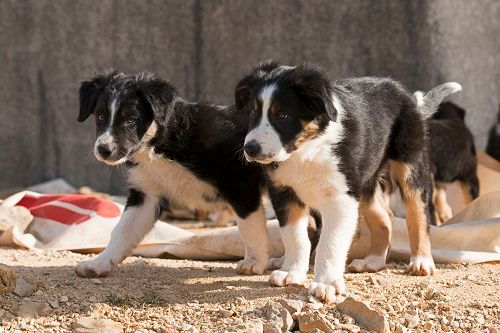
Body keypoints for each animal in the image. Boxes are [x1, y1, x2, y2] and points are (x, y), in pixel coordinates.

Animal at [234, 61, 460, 302]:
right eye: (253, 113)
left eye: (283, 115)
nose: (250, 149)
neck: (306, 150)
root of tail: (406, 94)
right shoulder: (284, 193)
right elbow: (294, 237)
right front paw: (291, 272)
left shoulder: (340, 199)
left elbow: (330, 243)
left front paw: (326, 284)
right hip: (364, 185)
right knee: (384, 218)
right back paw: (372, 262)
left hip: (409, 165)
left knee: (418, 215)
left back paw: (421, 262)